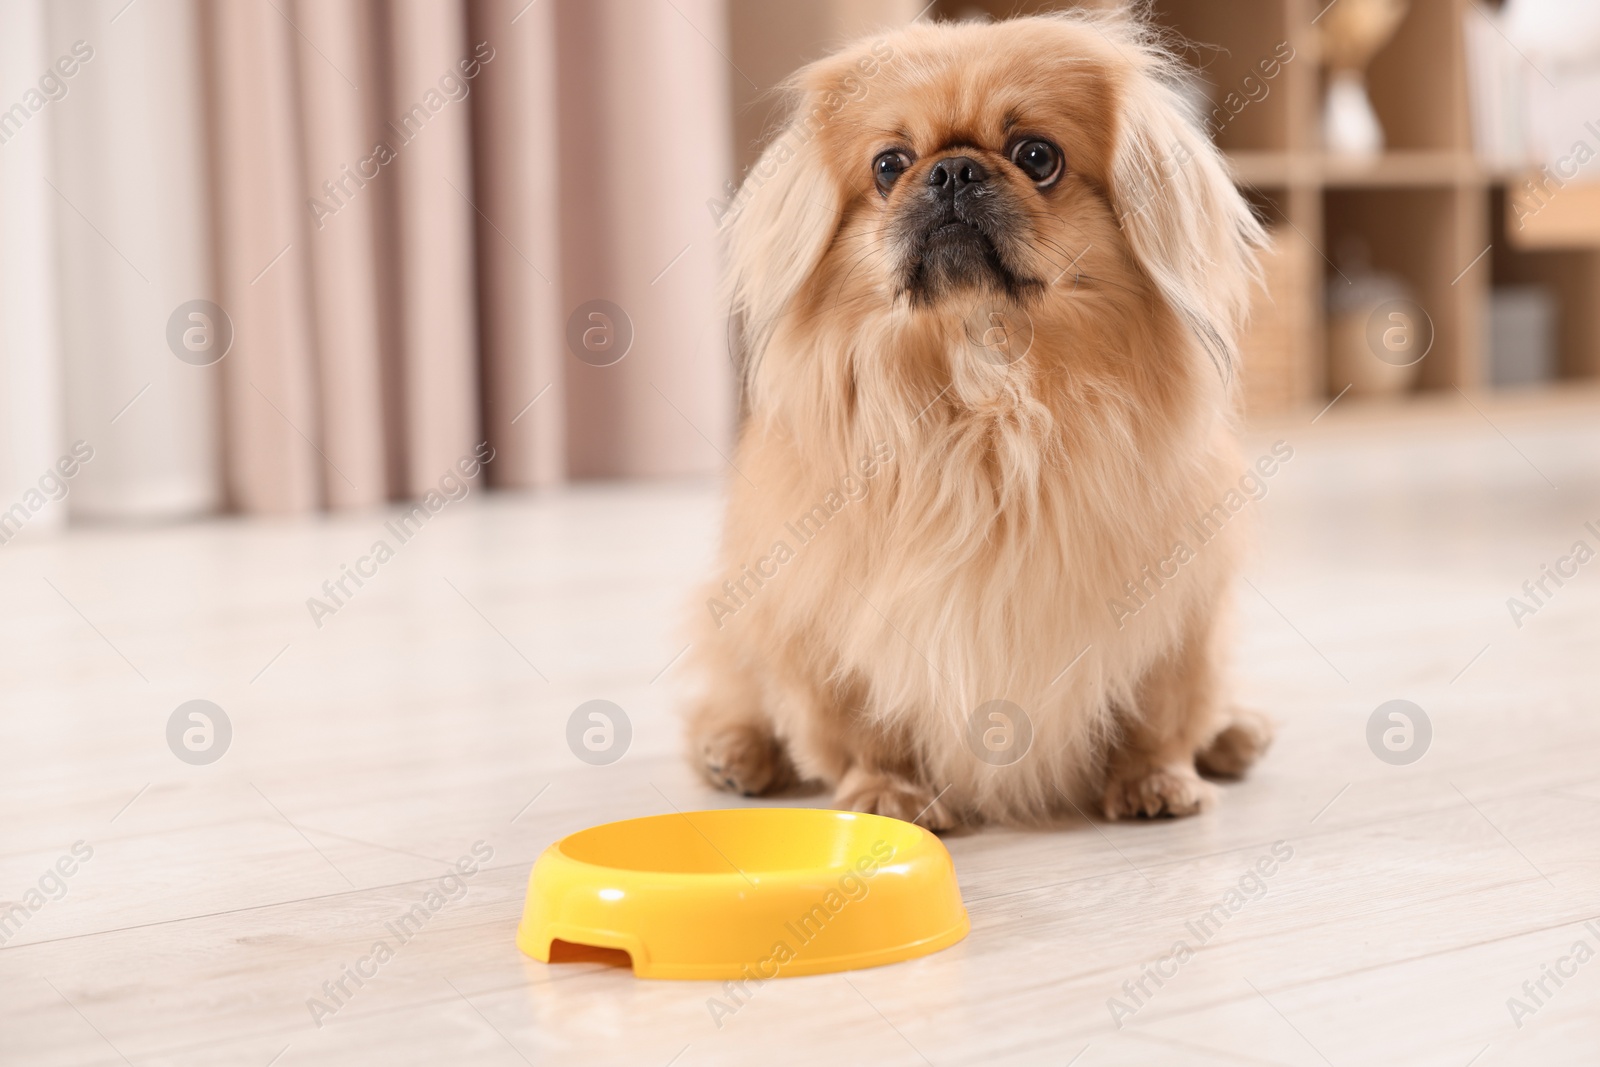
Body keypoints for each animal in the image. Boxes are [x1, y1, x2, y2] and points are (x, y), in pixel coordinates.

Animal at [684, 8, 1273, 831]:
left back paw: (1234, 733)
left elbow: (1159, 707)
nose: (953, 171)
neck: (990, 393)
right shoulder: (820, 610)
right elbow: (859, 724)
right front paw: (886, 793)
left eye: (1037, 156)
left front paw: (1156, 778)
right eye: (890, 165)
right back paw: (736, 752)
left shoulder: (1179, 600)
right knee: (736, 694)